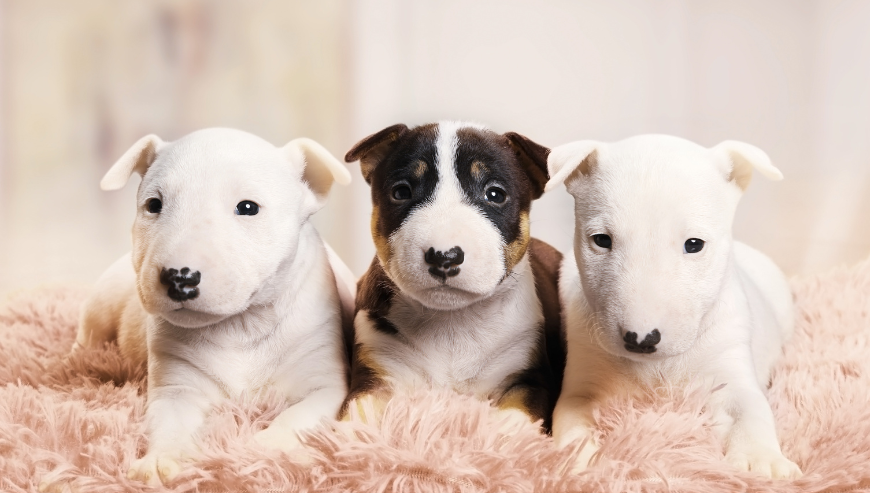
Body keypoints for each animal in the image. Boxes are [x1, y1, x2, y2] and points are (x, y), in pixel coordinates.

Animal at [73, 127, 356, 484]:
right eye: (153, 204)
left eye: (248, 207)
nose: (179, 277)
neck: (241, 325)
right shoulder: (177, 384)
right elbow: (171, 421)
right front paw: (162, 460)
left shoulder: (324, 377)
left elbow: (300, 415)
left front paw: (265, 449)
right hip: (102, 304)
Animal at [344, 121, 568, 428]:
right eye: (401, 192)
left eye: (495, 194)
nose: (444, 256)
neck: (452, 321)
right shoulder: (374, 376)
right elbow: (352, 421)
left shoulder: (529, 379)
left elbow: (513, 420)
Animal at [544, 134, 804, 476]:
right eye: (601, 239)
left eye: (694, 244)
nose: (641, 339)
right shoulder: (585, 363)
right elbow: (572, 412)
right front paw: (580, 460)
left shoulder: (728, 350)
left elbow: (749, 408)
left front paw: (761, 462)